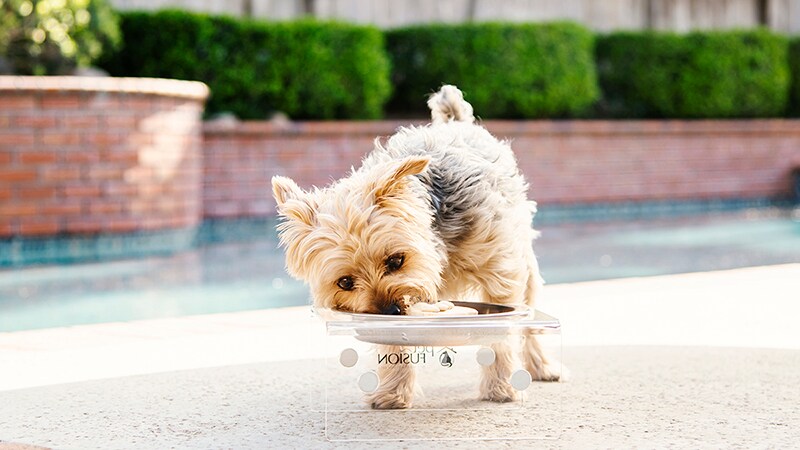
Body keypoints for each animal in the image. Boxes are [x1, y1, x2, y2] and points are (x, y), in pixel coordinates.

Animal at [276, 86, 564, 410]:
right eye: (345, 282)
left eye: (396, 260)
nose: (390, 311)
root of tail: (455, 121)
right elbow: (393, 342)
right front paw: (393, 392)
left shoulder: (500, 270)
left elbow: (503, 332)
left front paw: (501, 387)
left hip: (524, 258)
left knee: (530, 319)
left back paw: (541, 366)